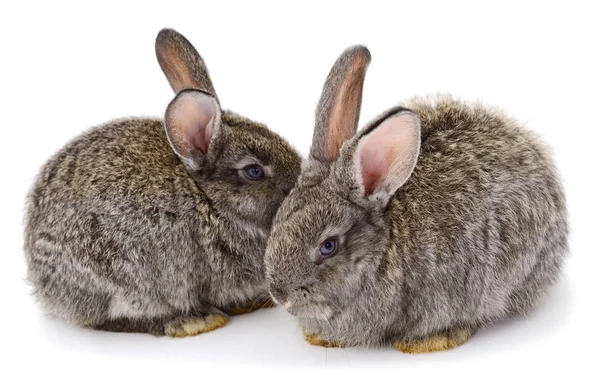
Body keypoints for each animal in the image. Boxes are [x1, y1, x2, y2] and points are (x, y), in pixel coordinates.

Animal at [24, 30, 302, 338]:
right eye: (254, 171)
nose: (299, 184)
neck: (209, 199)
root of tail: (41, 280)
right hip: (115, 276)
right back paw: (192, 321)